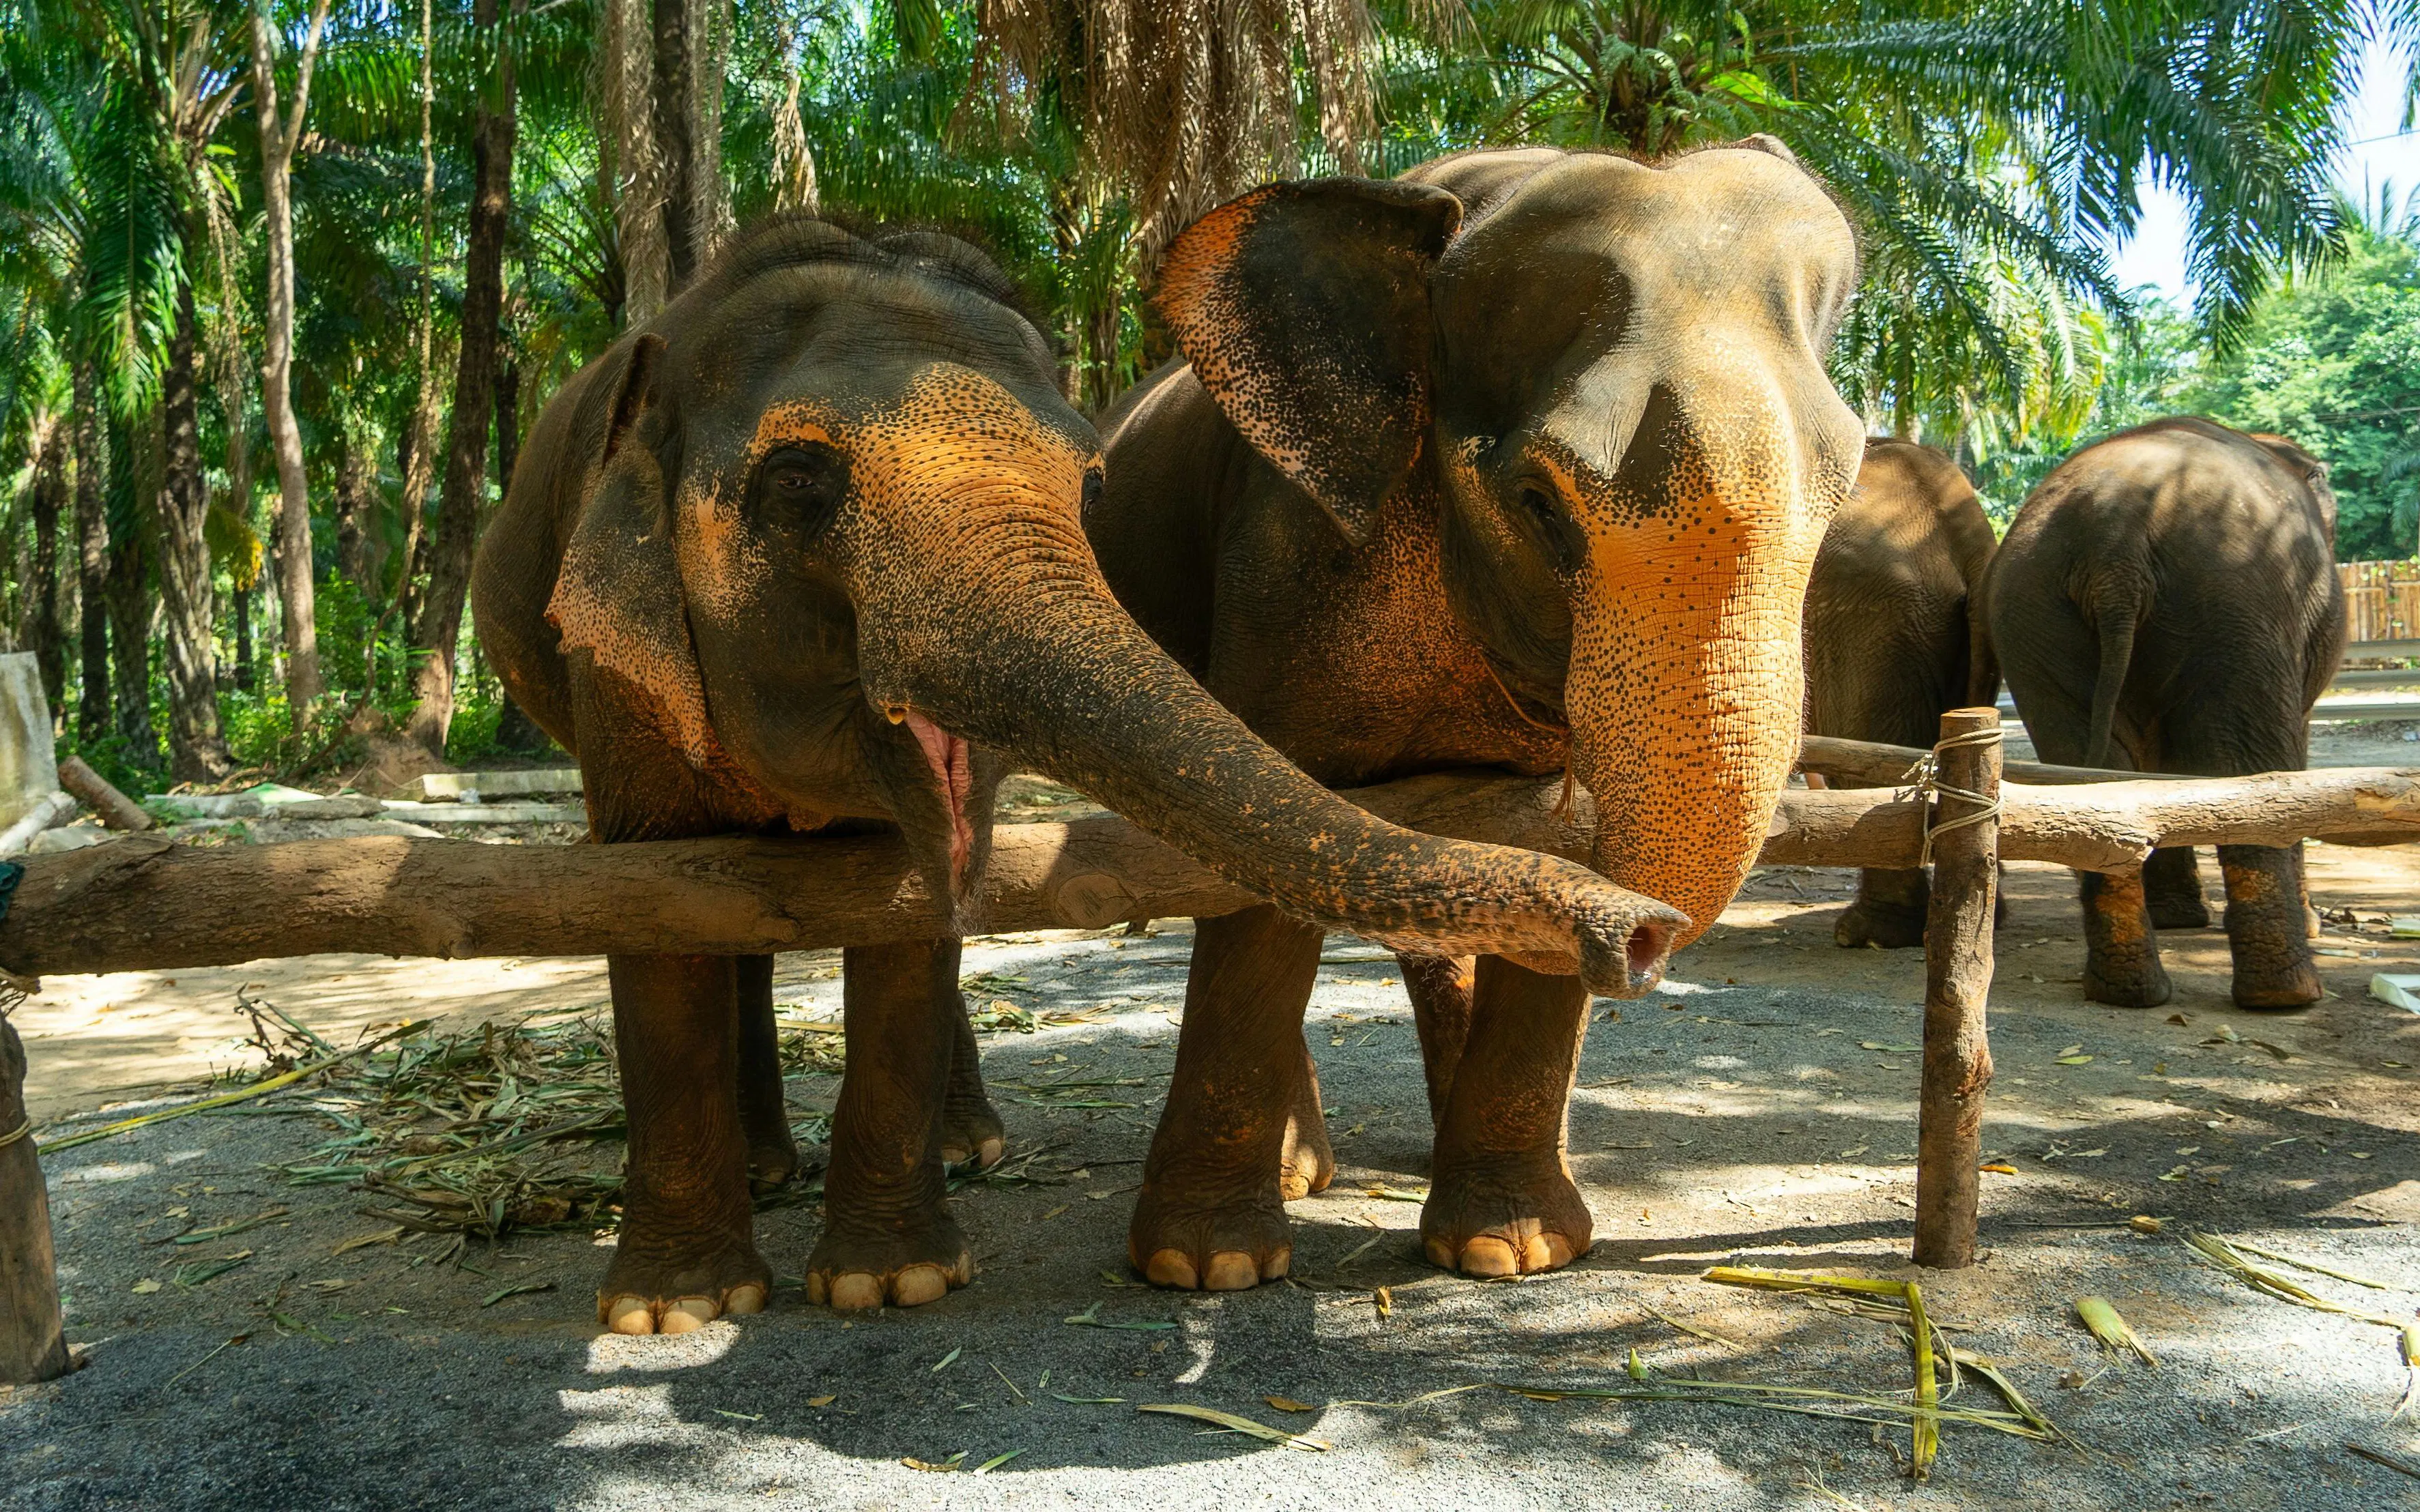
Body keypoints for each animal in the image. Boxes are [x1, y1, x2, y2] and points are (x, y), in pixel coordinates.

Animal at [471, 217, 1686, 1331]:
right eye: (798, 478)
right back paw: (779, 1171)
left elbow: (907, 914)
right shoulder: (612, 667)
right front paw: (678, 1312)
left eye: (1090, 485)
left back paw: (965, 1147)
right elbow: (655, 920)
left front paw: (889, 1284)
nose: (1643, 932)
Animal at [1088, 142, 1864, 1287]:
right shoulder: (1280, 558)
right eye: (1539, 506)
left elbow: (1534, 842)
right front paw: (1208, 1268)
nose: (1635, 946)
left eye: (1842, 493)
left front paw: (1512, 1251)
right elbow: (1259, 862)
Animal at [1975, 416, 2346, 1010]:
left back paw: (2126, 991)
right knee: (2253, 771)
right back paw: (2287, 996)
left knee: (2089, 767)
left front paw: (2177, 920)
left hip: (2031, 613)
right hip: (2236, 604)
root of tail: (2114, 546)